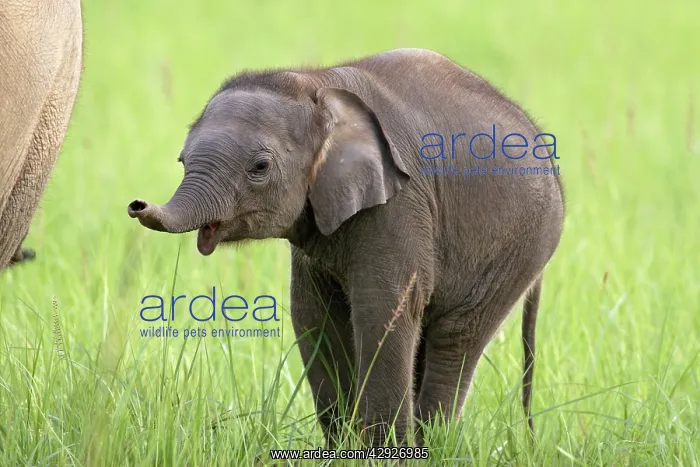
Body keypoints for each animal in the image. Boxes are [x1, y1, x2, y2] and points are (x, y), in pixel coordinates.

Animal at [127, 48, 565, 446]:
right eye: (182, 160)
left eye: (260, 168)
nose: (136, 205)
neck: (314, 85)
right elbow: (314, 316)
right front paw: (341, 449)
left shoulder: (399, 204)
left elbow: (382, 309)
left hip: (520, 248)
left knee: (455, 341)